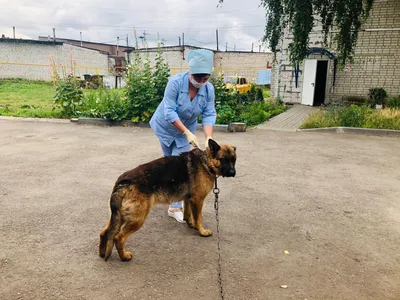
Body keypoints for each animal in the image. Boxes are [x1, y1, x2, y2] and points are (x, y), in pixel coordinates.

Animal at [98, 139, 236, 262]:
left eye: (234, 160)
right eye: (223, 159)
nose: (233, 172)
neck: (205, 161)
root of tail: (122, 182)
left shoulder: (188, 199)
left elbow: (188, 214)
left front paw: (190, 224)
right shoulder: (198, 200)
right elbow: (198, 218)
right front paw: (201, 231)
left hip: (120, 216)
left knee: (104, 232)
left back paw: (102, 252)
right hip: (137, 219)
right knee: (118, 237)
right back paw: (124, 257)